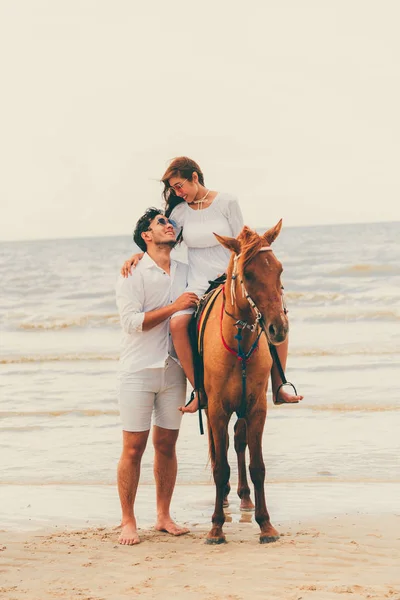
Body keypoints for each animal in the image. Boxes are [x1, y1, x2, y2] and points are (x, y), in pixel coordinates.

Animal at [203, 219, 288, 544]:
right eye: (248, 275)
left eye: (279, 270)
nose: (279, 328)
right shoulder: (216, 409)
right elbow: (220, 467)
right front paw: (216, 527)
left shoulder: (255, 408)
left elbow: (257, 466)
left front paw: (266, 525)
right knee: (223, 448)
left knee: (239, 442)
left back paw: (245, 498)